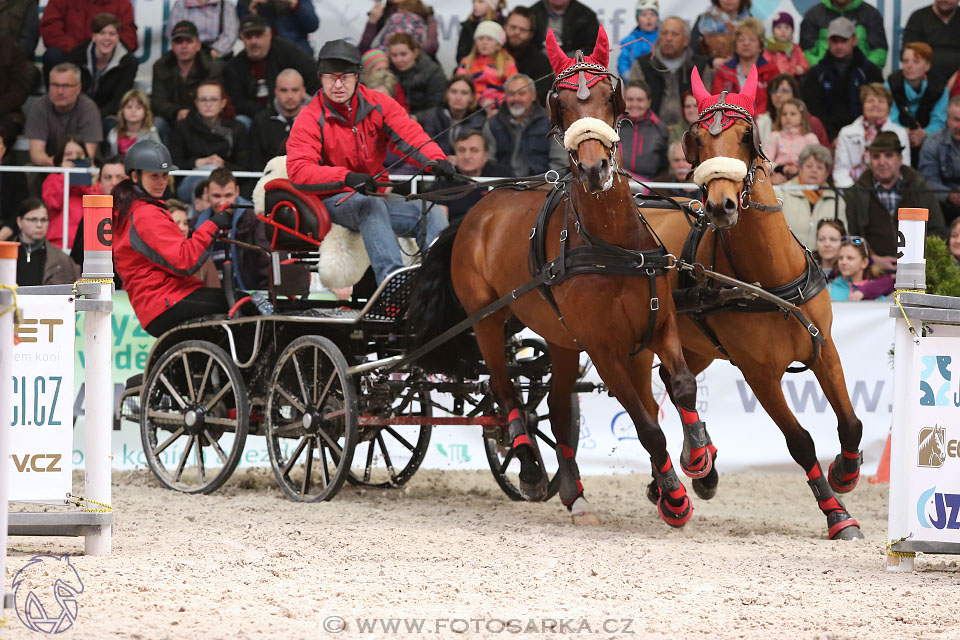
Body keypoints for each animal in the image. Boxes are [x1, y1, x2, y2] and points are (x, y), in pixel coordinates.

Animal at [404, 26, 712, 524]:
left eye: (608, 96)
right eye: (561, 103)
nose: (593, 168)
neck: (614, 246)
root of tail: (478, 209)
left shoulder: (659, 325)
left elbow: (682, 387)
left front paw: (700, 462)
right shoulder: (604, 350)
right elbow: (646, 425)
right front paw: (673, 497)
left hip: (560, 338)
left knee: (555, 407)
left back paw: (574, 493)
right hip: (488, 323)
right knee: (505, 392)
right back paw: (530, 469)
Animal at [632, 66, 868, 540]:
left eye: (745, 135)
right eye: (697, 140)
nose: (721, 206)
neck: (772, 281)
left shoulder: (824, 348)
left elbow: (851, 421)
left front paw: (845, 474)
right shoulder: (760, 374)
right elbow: (800, 441)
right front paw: (836, 513)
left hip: (699, 345)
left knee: (673, 380)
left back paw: (698, 464)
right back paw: (683, 475)